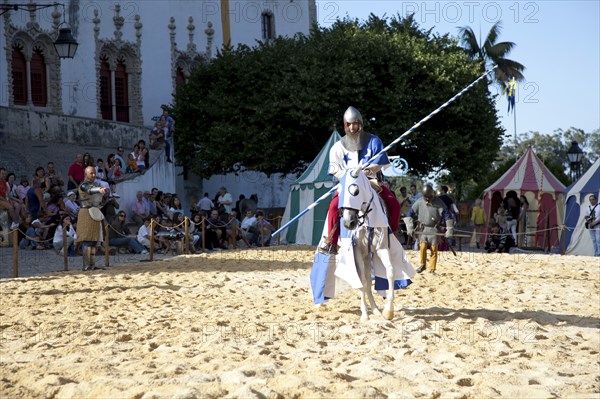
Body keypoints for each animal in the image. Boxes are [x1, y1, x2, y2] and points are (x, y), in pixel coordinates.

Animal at [336, 168, 414, 322]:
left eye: (356, 191)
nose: (349, 223)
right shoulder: (357, 251)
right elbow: (362, 281)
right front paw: (364, 315)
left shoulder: (381, 247)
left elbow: (390, 272)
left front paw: (388, 311)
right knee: (365, 281)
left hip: (368, 255)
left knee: (368, 279)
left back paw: (376, 310)